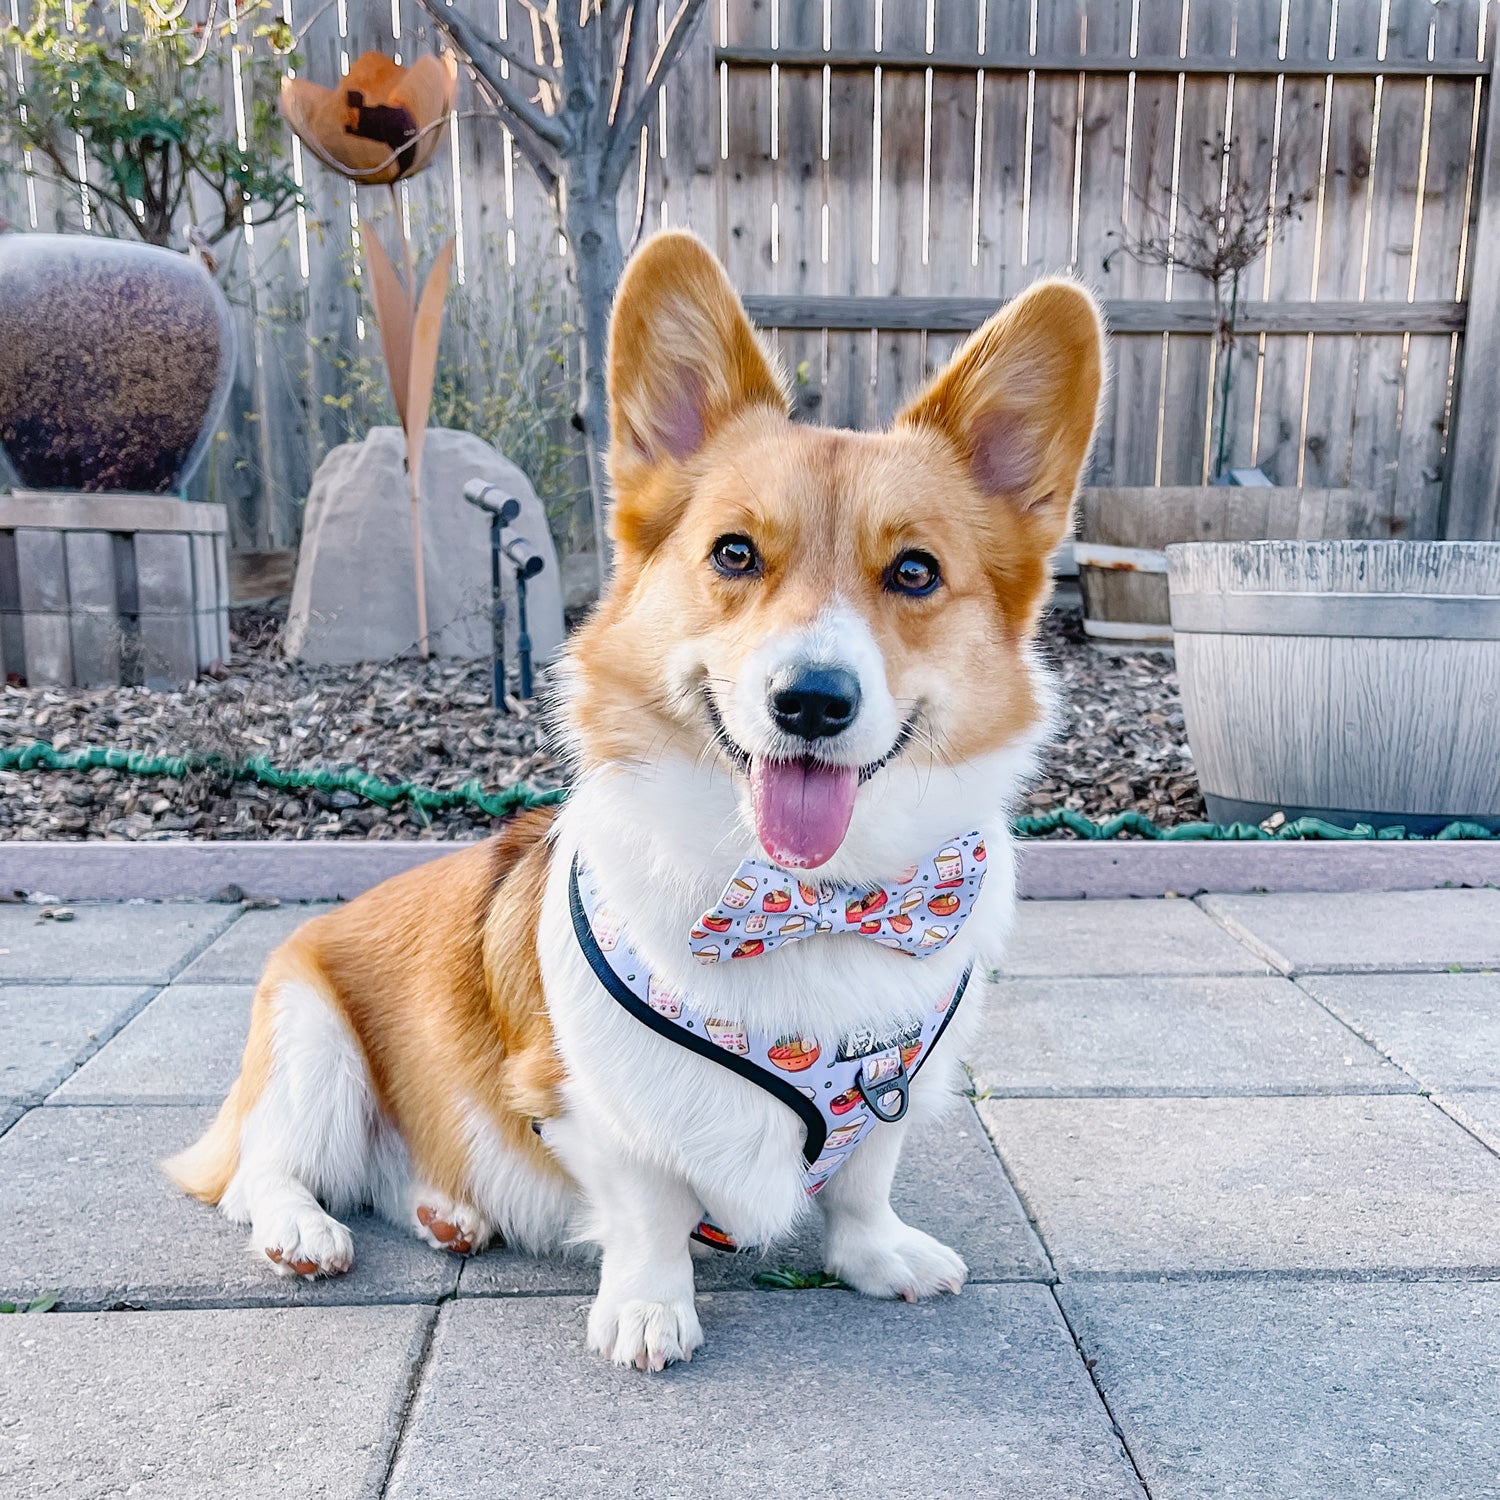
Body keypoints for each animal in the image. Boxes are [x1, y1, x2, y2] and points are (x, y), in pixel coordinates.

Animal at [167, 234, 1104, 1374]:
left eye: (916, 572)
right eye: (735, 552)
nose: (811, 701)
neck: (804, 900)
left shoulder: (892, 1089)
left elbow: (865, 1178)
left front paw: (878, 1255)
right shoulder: (590, 1102)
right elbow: (649, 1204)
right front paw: (652, 1309)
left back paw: (449, 1212)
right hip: (311, 1043)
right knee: (260, 1174)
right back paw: (304, 1230)